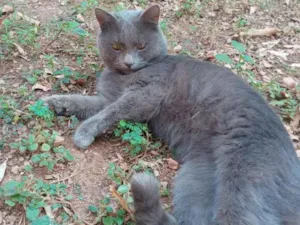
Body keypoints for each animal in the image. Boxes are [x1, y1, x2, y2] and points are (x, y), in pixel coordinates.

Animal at [43, 4, 300, 225]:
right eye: (116, 47)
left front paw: (83, 133)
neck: (123, 77)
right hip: (195, 180)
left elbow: (110, 112)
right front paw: (53, 102)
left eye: (141, 46)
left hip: (244, 179)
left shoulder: (146, 96)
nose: (128, 63)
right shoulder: (106, 97)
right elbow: (84, 102)